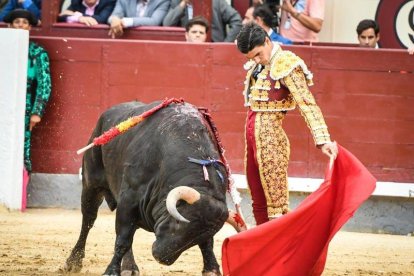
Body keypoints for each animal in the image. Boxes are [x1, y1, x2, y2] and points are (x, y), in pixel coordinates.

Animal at [63, 101, 241, 276]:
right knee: (88, 221)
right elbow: (123, 239)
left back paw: (129, 267)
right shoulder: (129, 199)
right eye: (178, 222)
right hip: (91, 185)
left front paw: (212, 269)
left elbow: (207, 244)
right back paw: (73, 262)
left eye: (197, 236)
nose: (161, 258)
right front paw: (111, 272)